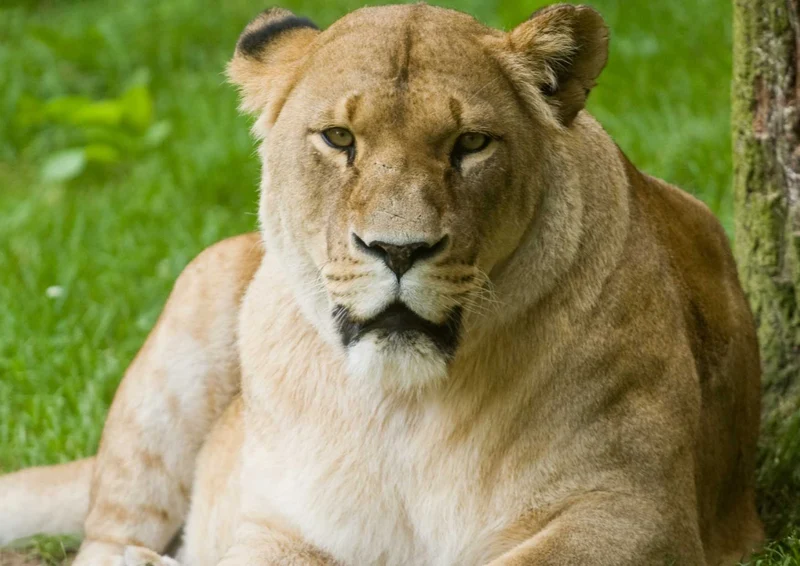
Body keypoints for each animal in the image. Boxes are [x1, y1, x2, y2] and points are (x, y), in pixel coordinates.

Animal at [0, 4, 763, 565]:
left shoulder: (636, 512)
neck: (405, 409)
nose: (399, 250)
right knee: (106, 538)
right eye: (339, 138)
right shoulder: (276, 522)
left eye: (470, 143)